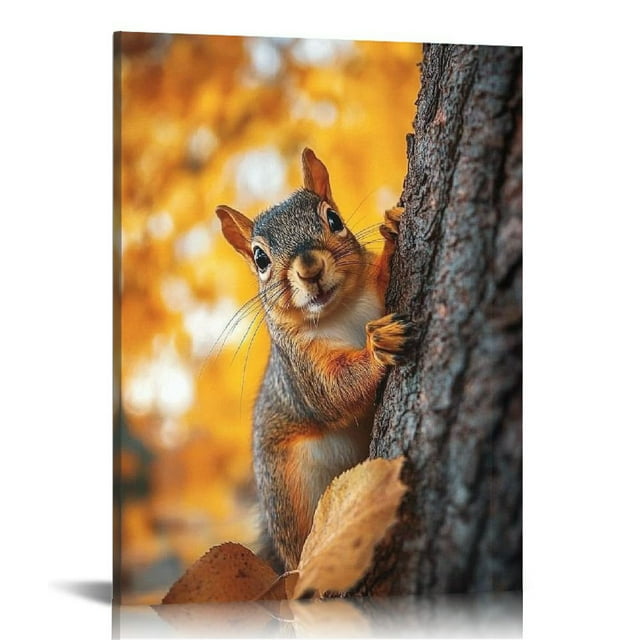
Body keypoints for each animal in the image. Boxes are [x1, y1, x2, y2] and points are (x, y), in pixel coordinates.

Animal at [216, 148, 414, 573]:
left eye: (333, 219)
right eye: (259, 258)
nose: (310, 268)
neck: (340, 311)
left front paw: (392, 230)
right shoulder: (300, 367)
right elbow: (332, 393)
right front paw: (379, 344)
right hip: (289, 501)